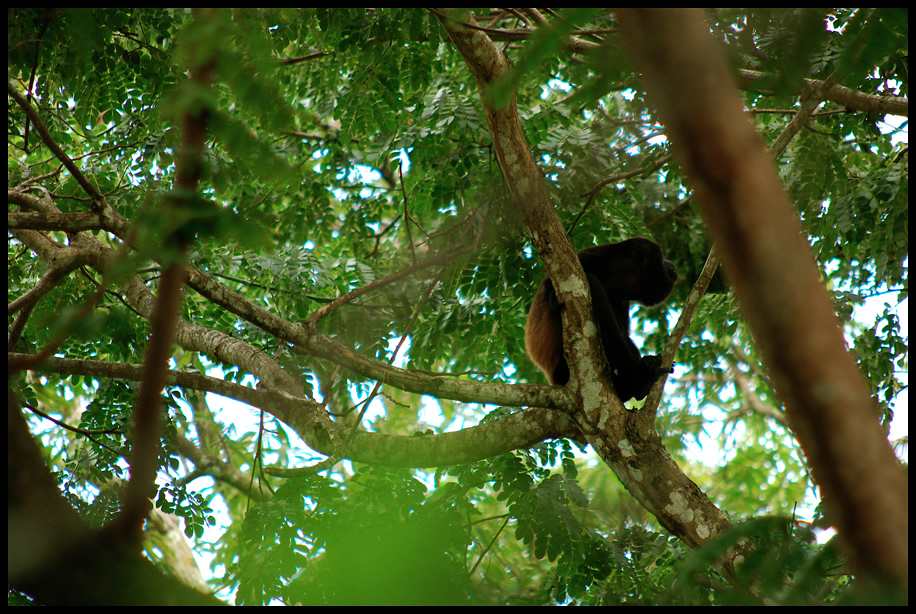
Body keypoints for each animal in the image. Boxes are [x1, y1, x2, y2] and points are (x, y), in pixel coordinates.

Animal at [524, 238, 680, 402]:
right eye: (662, 259)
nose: (670, 263)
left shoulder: (621, 300)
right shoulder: (596, 258)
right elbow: (550, 282)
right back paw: (639, 383)